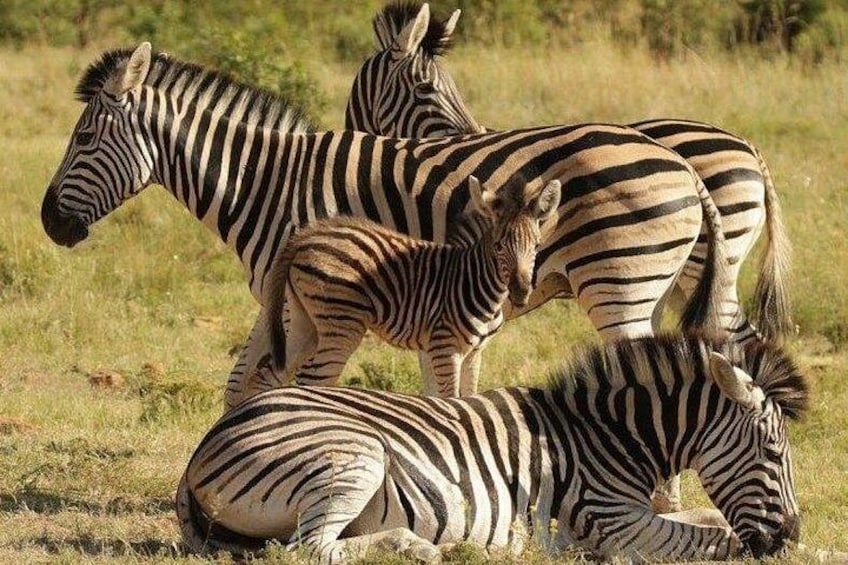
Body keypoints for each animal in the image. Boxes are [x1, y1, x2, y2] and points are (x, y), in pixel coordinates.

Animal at [175, 332, 807, 563]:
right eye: (774, 456)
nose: (792, 536)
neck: (611, 438)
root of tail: (208, 442)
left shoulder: (637, 511)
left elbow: (708, 518)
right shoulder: (612, 522)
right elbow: (714, 540)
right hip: (355, 454)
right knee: (306, 549)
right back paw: (423, 548)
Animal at [251, 174, 560, 399]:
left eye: (536, 246)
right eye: (498, 247)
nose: (521, 293)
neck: (475, 280)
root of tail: (306, 236)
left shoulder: (475, 352)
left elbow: (468, 396)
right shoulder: (445, 348)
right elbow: (451, 400)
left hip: (305, 321)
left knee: (267, 374)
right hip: (341, 324)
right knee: (311, 378)